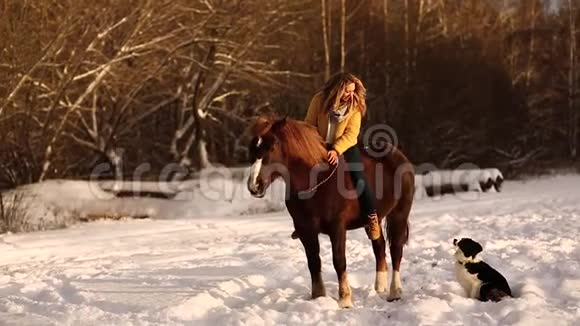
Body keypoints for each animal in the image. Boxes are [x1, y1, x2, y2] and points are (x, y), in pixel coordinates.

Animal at [245, 117, 412, 308]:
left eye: (272, 147)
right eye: (252, 147)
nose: (254, 185)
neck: (316, 181)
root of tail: (399, 156)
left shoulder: (337, 228)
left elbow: (339, 261)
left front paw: (345, 299)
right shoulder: (306, 230)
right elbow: (313, 261)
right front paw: (318, 296)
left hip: (399, 214)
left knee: (396, 250)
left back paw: (395, 292)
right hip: (372, 222)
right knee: (379, 247)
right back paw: (380, 287)